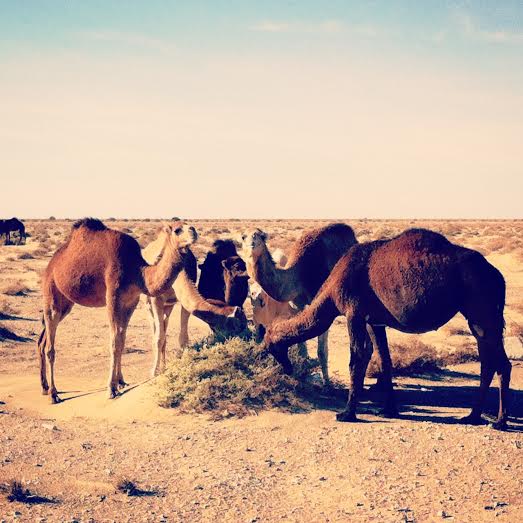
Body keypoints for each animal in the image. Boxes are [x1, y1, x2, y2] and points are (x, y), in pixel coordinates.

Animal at [36, 219, 200, 404]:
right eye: (178, 230)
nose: (193, 231)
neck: (137, 272)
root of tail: (51, 263)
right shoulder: (113, 298)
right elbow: (115, 342)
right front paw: (111, 389)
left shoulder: (130, 301)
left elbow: (122, 339)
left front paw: (120, 381)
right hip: (51, 292)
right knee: (50, 345)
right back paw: (53, 394)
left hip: (66, 303)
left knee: (43, 339)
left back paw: (44, 387)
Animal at [243, 223, 358, 386]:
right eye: (243, 236)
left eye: (261, 236)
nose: (252, 244)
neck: (298, 275)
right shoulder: (297, 305)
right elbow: (301, 345)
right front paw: (303, 375)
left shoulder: (321, 304)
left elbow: (322, 351)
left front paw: (327, 384)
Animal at [262, 228, 512, 430]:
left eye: (271, 347)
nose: (287, 369)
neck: (331, 292)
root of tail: (499, 277)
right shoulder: (374, 320)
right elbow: (384, 360)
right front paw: (388, 410)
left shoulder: (354, 313)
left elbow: (358, 357)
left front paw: (347, 413)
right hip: (479, 319)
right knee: (489, 362)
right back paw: (473, 416)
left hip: (482, 312)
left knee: (500, 363)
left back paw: (499, 422)